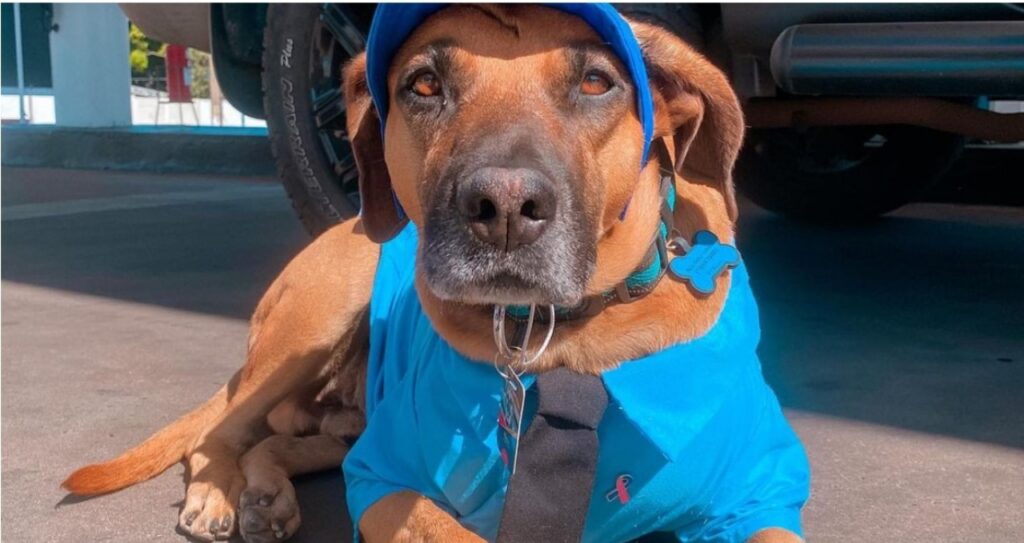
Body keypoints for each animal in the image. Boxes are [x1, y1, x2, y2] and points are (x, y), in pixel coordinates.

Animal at [64, 5, 802, 540]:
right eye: (424, 85)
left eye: (597, 81)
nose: (504, 208)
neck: (568, 342)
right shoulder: (388, 478)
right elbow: (447, 527)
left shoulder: (762, 492)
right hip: (317, 321)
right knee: (220, 433)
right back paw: (219, 494)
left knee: (283, 438)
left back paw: (265, 491)